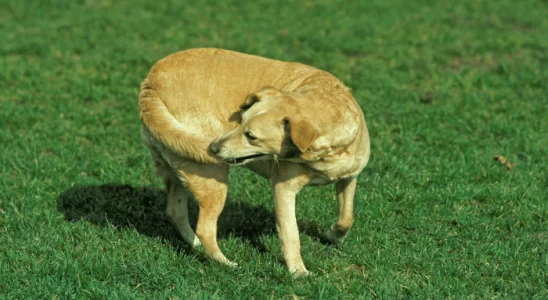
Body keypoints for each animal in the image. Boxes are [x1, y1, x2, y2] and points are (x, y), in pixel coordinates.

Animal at [139, 48, 370, 276]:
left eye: (251, 136)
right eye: (239, 121)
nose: (213, 148)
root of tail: (151, 82)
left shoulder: (349, 178)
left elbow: (346, 218)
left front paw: (332, 236)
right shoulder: (283, 189)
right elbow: (291, 233)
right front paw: (298, 271)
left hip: (177, 170)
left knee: (175, 212)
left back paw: (195, 246)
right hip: (213, 179)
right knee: (205, 228)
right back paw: (227, 264)